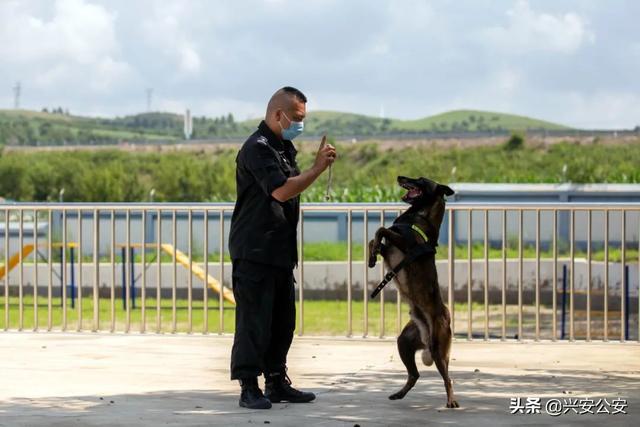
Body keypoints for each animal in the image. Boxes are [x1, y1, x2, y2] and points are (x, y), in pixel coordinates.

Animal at [368, 176, 458, 410]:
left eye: (421, 180)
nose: (400, 177)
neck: (418, 217)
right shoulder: (389, 249)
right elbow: (375, 238)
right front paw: (371, 256)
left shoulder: (404, 244)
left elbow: (381, 229)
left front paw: (373, 251)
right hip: (405, 342)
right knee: (415, 374)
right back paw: (399, 394)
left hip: (438, 348)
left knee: (448, 378)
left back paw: (451, 400)